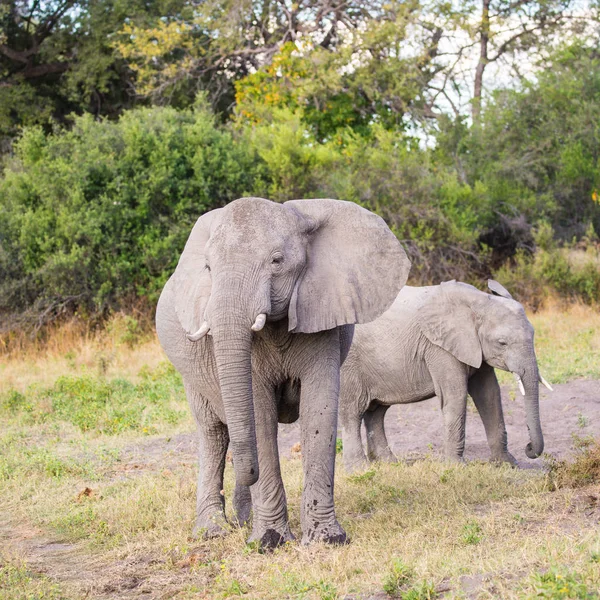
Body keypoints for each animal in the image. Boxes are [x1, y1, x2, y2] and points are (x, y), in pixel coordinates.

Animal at [155, 198, 410, 548]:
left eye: (277, 261)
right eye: (208, 268)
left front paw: (326, 541)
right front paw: (269, 543)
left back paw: (243, 521)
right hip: (190, 376)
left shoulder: (323, 314)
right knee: (214, 434)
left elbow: (318, 408)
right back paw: (213, 531)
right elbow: (259, 413)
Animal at [340, 278, 552, 472]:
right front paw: (456, 467)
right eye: (502, 343)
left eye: (533, 335)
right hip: (349, 362)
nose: (528, 447)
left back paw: (389, 464)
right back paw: (360, 470)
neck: (480, 300)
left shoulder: (474, 347)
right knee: (353, 411)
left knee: (376, 412)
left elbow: (489, 394)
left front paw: (508, 464)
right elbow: (456, 394)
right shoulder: (439, 347)